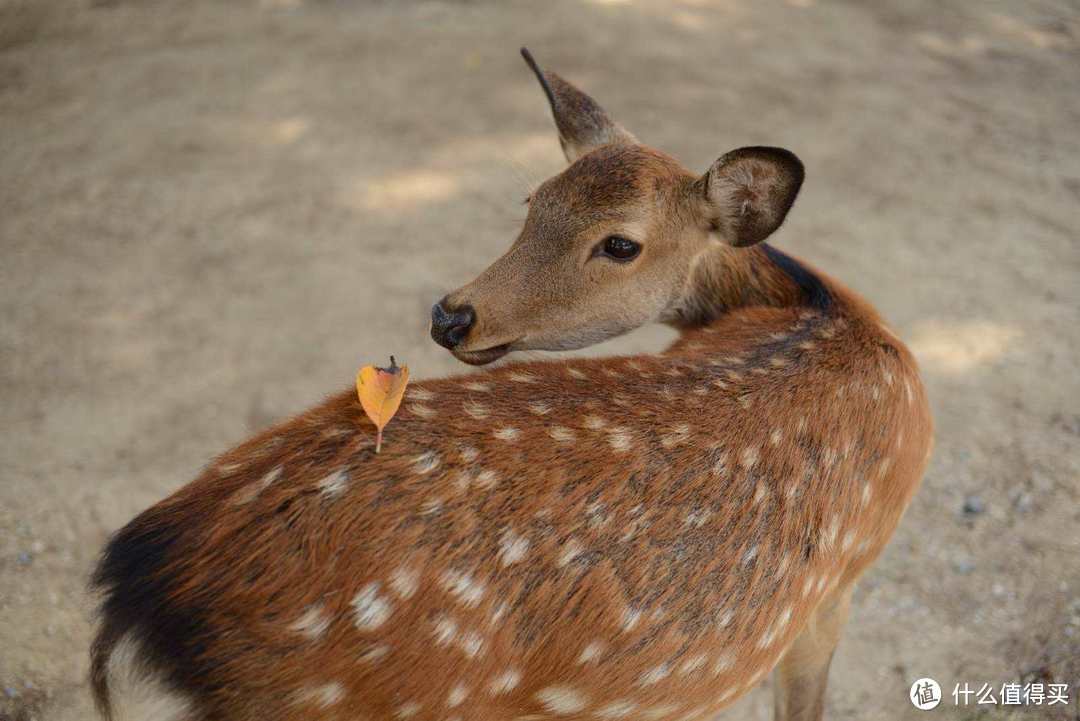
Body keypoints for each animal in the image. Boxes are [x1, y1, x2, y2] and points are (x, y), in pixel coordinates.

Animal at [90, 47, 937, 716]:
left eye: (620, 243)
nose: (451, 316)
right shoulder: (844, 577)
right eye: (534, 198)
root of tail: (147, 585)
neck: (823, 310)